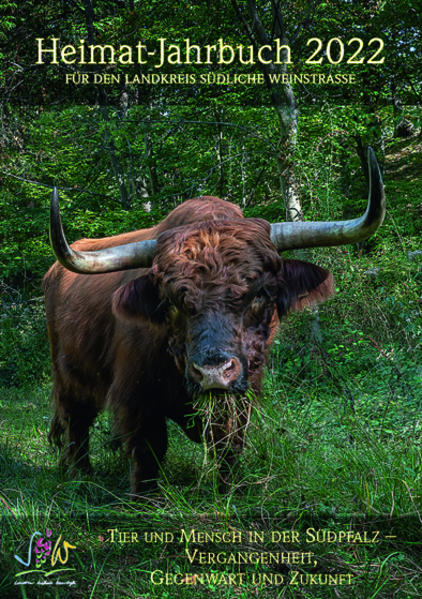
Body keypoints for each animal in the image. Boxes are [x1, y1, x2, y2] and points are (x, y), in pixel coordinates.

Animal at [44, 149, 384, 492]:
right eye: (172, 300)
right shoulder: (137, 396)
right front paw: (145, 495)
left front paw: (229, 487)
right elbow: (148, 450)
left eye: (261, 292)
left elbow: (229, 441)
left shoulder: (242, 392)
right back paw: (81, 476)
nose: (213, 372)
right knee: (76, 424)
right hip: (68, 377)